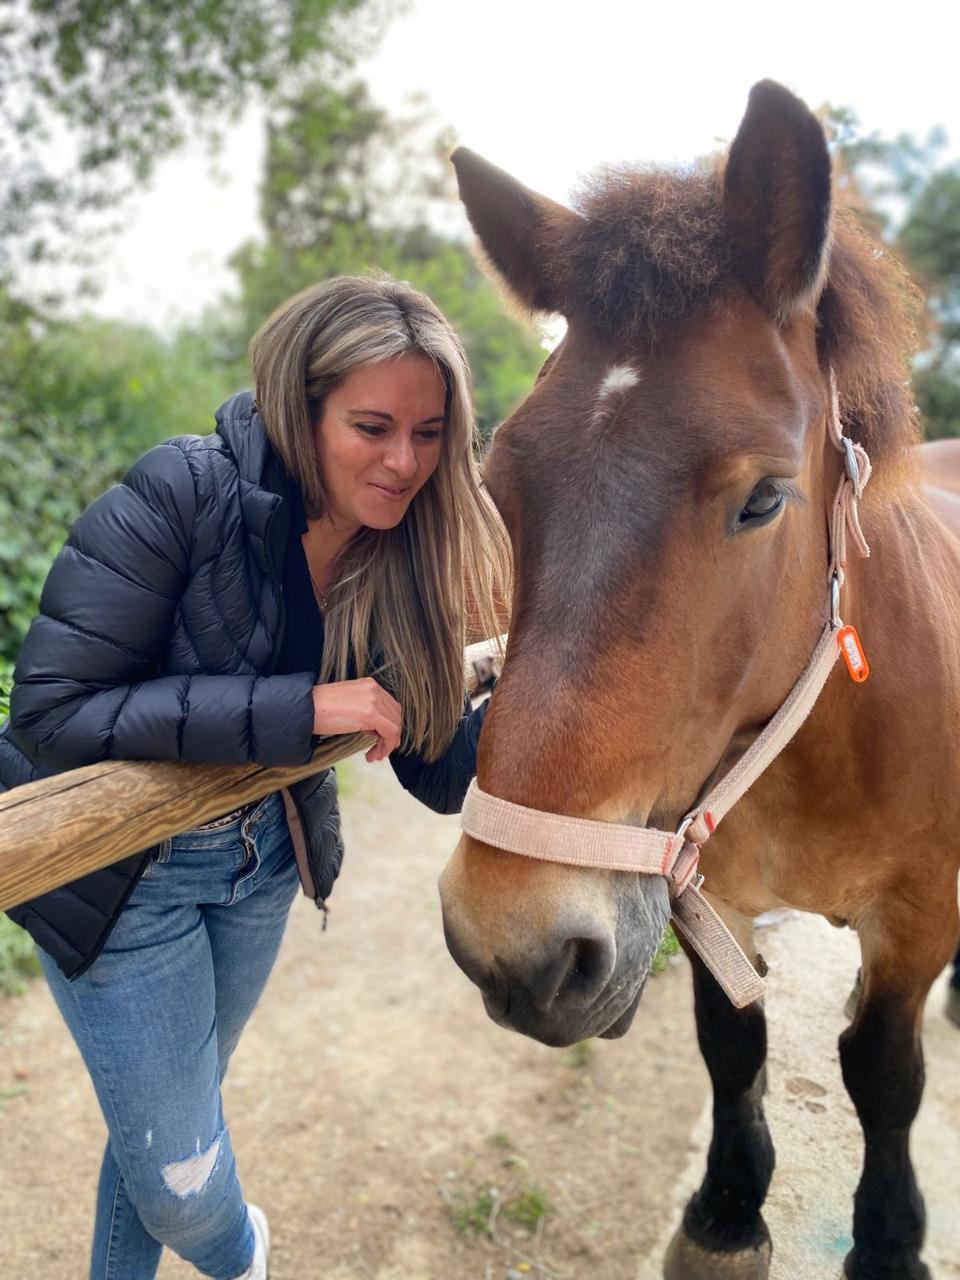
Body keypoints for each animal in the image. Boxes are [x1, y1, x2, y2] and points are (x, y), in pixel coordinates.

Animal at [438, 81, 960, 1280]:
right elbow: (733, 1037)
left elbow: (884, 1070)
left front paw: (889, 1241)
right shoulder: (704, 880)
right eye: (500, 481)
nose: (511, 946)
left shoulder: (921, 914)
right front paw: (726, 1209)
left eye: (763, 499)